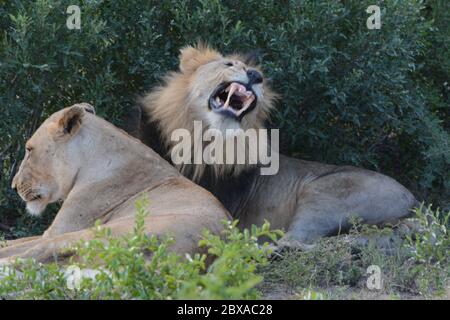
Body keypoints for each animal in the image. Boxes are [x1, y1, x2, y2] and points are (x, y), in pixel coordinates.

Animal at [0, 104, 230, 264]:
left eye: (29, 149)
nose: (13, 186)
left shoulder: (62, 229)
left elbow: (16, 244)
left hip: (97, 232)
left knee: (34, 254)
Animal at [130, 44, 418, 245]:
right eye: (229, 63)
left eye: (261, 78)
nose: (255, 75)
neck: (201, 139)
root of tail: (415, 202)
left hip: (325, 193)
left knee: (296, 242)